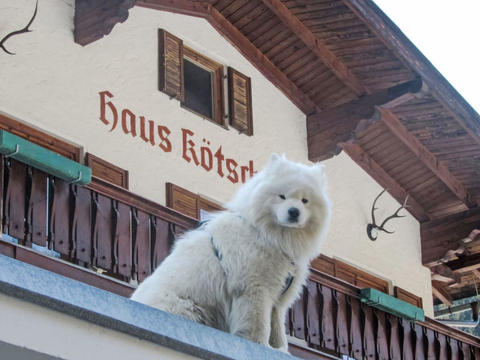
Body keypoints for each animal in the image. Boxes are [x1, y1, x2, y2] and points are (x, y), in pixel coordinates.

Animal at [131, 155, 330, 352]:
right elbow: (260, 324)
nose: (294, 212)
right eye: (282, 196)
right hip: (187, 306)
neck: (270, 236)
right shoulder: (255, 287)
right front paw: (260, 345)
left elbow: (277, 327)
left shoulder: (279, 294)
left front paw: (279, 350)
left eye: (305, 200)